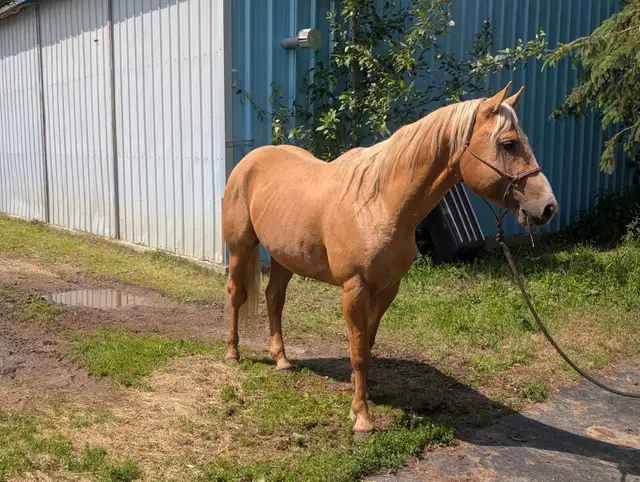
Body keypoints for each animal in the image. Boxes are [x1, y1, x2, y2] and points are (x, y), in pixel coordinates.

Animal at [222, 82, 558, 435]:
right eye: (508, 144)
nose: (548, 207)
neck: (378, 202)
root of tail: (251, 159)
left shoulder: (387, 290)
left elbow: (367, 346)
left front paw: (363, 397)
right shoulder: (354, 288)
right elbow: (357, 351)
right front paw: (362, 419)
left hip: (284, 256)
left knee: (274, 299)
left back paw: (282, 361)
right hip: (240, 247)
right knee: (237, 294)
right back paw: (233, 353)